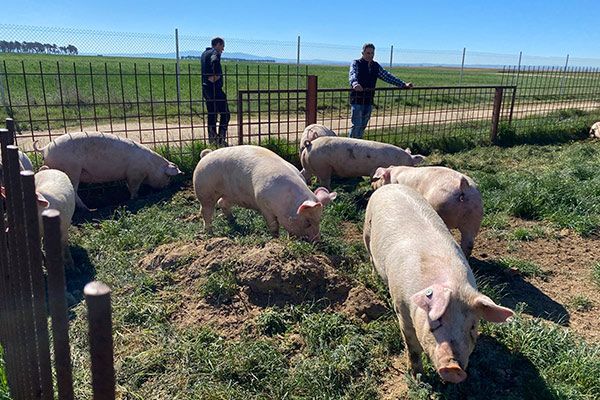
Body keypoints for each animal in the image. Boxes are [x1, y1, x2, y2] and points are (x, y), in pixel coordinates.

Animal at [192, 146, 336, 242]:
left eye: (319, 220)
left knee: (222, 203)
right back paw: (210, 233)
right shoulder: (263, 203)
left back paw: (233, 220)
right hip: (204, 191)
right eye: (307, 222)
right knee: (206, 211)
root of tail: (206, 155)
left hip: (230, 194)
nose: (317, 241)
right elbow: (273, 225)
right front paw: (276, 238)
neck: (287, 200)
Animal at [364, 184, 512, 384]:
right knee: (370, 256)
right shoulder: (401, 308)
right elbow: (412, 346)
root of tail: (390, 185)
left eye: (472, 327)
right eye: (437, 321)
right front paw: (417, 378)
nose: (454, 368)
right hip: (367, 230)